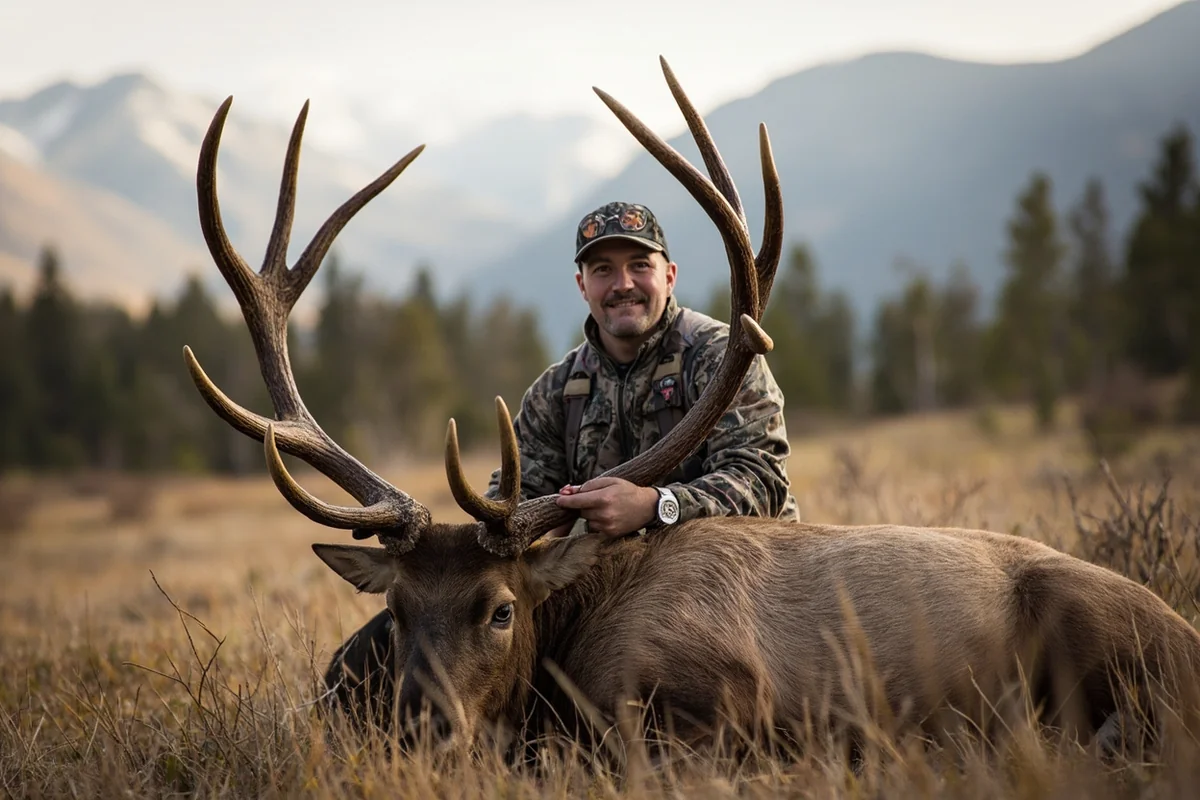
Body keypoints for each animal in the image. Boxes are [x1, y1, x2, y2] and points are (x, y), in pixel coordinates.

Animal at [182, 57, 1200, 761]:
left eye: (500, 608)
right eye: (395, 613)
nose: (424, 733)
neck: (568, 647)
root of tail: (1187, 640)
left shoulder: (720, 708)